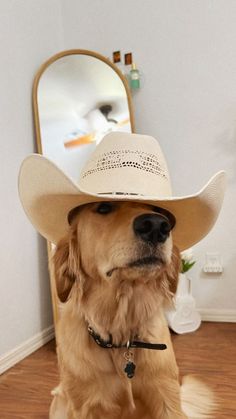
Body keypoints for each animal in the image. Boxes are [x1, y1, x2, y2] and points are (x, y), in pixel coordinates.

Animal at [50, 202, 216, 418]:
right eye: (104, 207)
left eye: (157, 209)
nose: (156, 226)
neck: (122, 339)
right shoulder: (84, 407)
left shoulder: (167, 396)